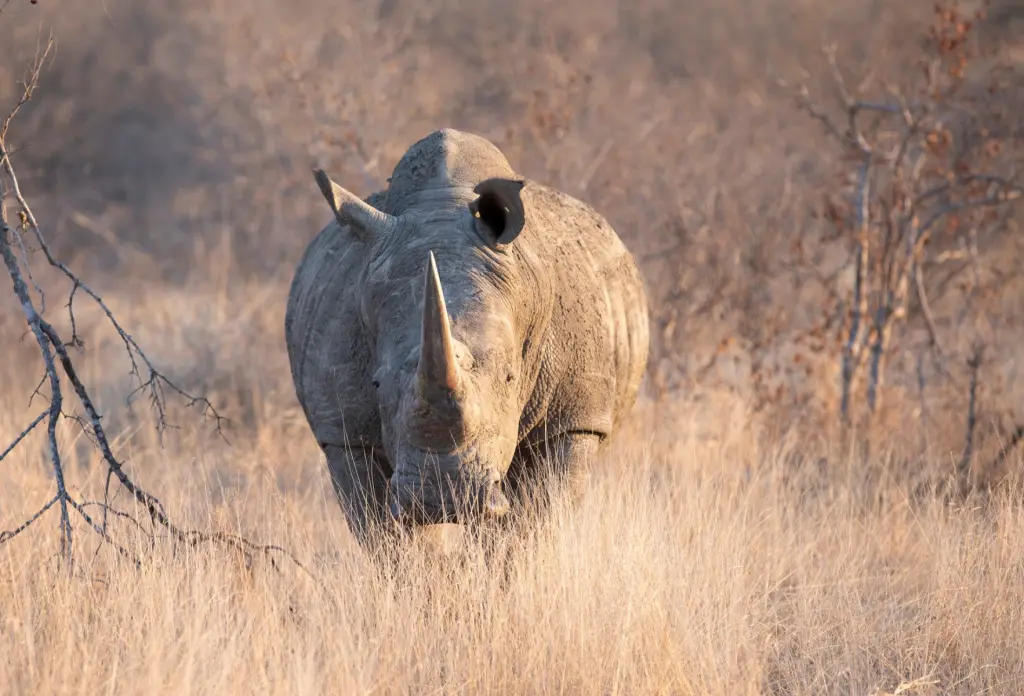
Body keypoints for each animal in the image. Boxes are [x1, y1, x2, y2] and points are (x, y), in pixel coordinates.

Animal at [285, 128, 649, 543]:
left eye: (510, 378)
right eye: (376, 384)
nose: (441, 498)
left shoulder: (573, 419)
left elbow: (534, 525)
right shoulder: (345, 433)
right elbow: (383, 534)